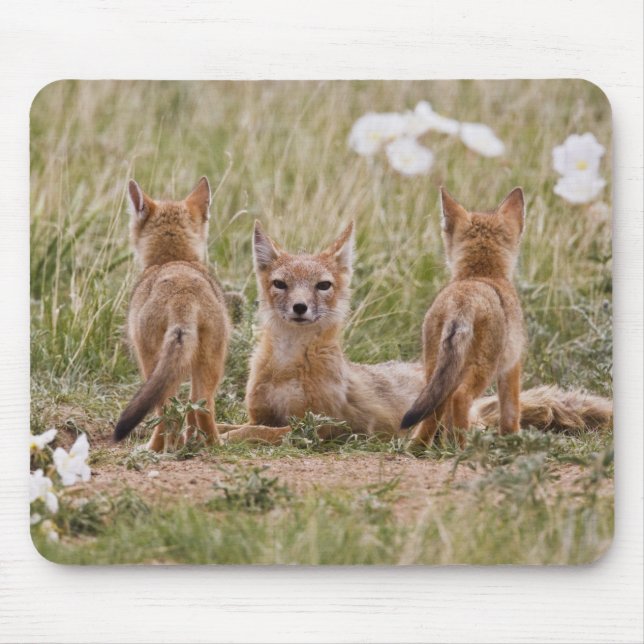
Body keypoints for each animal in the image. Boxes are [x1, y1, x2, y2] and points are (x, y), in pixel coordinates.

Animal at [113, 177, 230, 451]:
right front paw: (189, 441)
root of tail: (182, 293)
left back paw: (154, 449)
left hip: (152, 364)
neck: (173, 260)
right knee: (202, 406)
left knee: (165, 410)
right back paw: (213, 445)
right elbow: (189, 411)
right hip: (210, 363)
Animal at [220, 215, 612, 445]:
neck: (288, 366)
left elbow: (254, 432)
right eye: (281, 284)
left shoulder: (323, 425)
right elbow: (232, 424)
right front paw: (209, 435)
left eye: (323, 286)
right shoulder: (262, 413)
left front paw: (225, 439)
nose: (300, 308)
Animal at [400, 187, 526, 446]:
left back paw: (419, 447)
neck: (481, 275)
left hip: (434, 369)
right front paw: (514, 439)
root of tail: (463, 300)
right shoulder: (512, 365)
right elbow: (511, 411)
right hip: (482, 370)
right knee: (460, 398)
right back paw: (462, 446)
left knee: (435, 409)